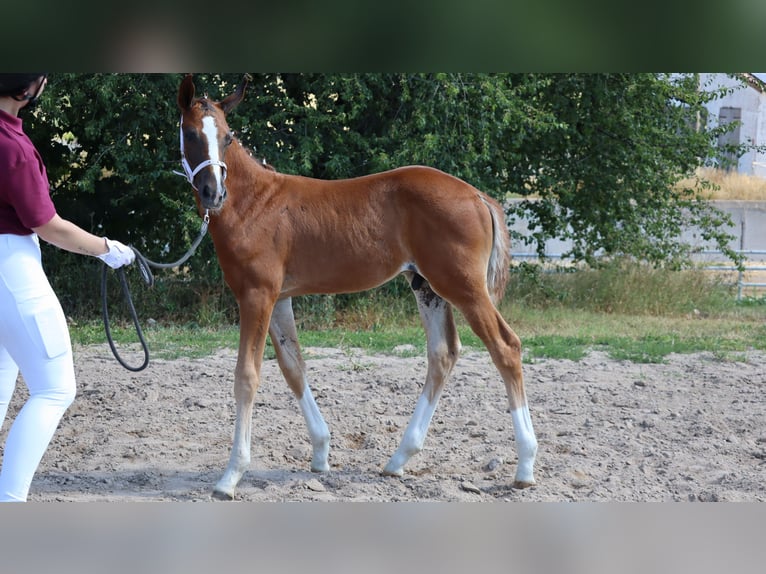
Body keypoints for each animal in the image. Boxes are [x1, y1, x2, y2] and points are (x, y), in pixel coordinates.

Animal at [176, 74, 538, 500]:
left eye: (228, 136)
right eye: (191, 133)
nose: (213, 193)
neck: (254, 203)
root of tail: (478, 196)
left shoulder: (256, 295)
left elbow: (247, 377)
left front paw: (231, 476)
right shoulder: (279, 299)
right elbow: (293, 366)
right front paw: (320, 453)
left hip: (464, 287)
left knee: (505, 347)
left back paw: (526, 465)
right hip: (426, 286)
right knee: (443, 353)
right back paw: (399, 459)